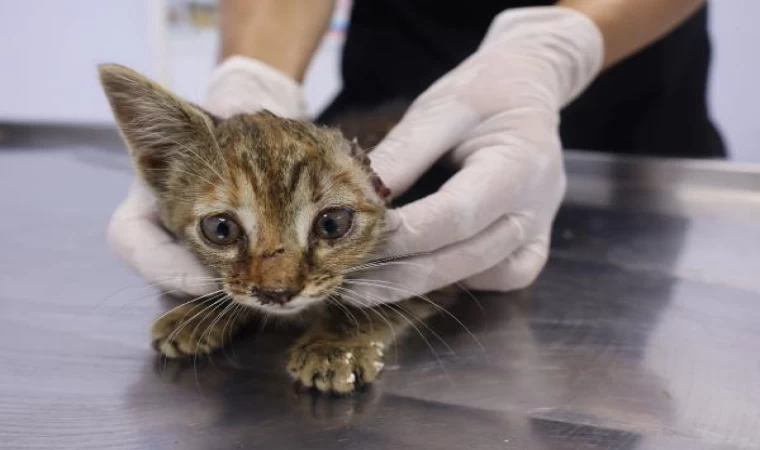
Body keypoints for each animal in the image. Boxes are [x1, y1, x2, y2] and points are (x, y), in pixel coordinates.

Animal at [101, 63, 446, 394]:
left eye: (332, 224)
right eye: (221, 229)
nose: (277, 293)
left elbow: (388, 297)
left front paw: (335, 346)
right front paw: (199, 311)